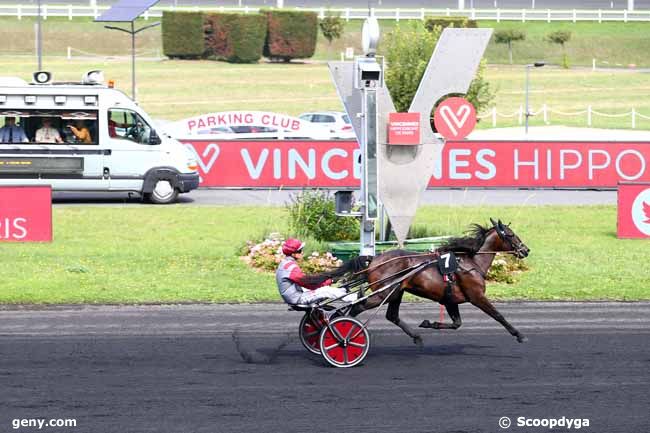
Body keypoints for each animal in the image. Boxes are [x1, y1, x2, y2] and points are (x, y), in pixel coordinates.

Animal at [304, 218, 528, 346]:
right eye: (511, 235)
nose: (526, 250)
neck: (471, 262)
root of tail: (374, 259)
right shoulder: (477, 296)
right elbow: (498, 315)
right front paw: (519, 334)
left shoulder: (450, 299)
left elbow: (457, 323)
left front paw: (430, 323)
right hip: (382, 293)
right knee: (357, 307)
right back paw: (340, 334)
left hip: (395, 291)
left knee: (391, 315)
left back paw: (416, 336)